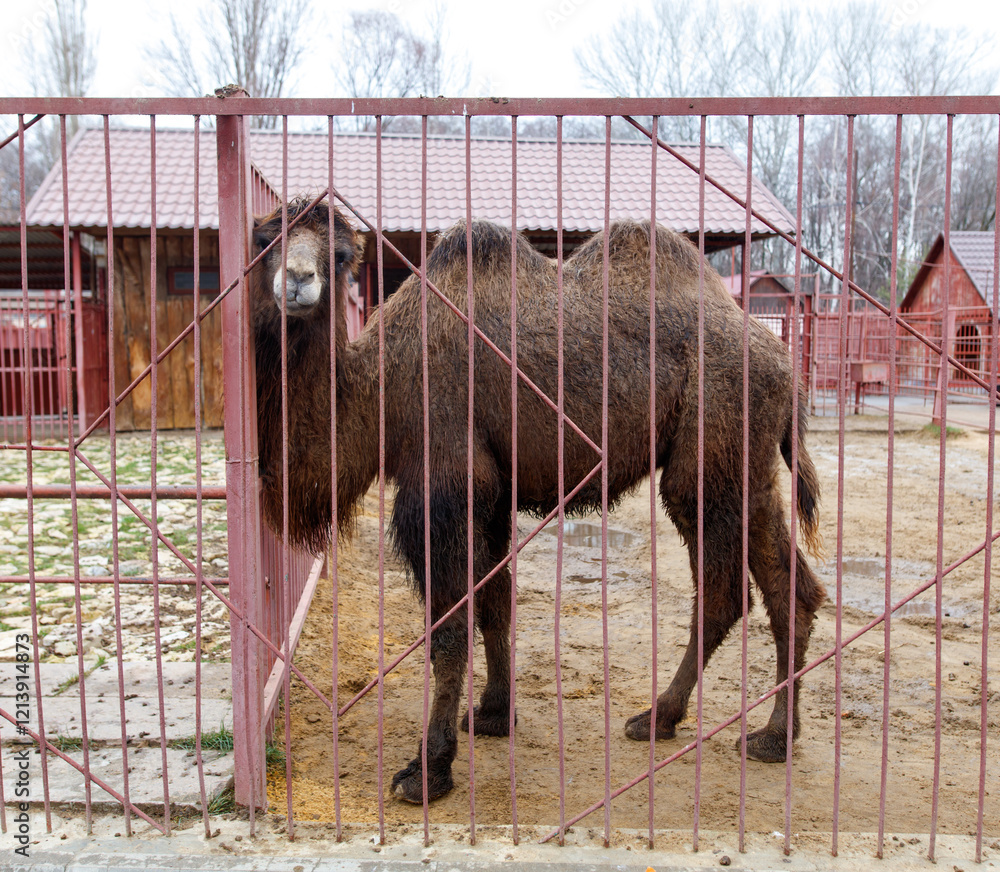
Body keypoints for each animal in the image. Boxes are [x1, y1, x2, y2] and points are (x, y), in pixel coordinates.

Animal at [251, 198, 826, 804]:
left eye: (340, 256)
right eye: (265, 242)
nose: (298, 279)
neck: (385, 385)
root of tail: (787, 367)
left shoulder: (445, 482)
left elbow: (450, 629)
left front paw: (427, 771)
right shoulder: (493, 493)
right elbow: (496, 600)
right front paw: (492, 715)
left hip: (710, 452)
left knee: (721, 592)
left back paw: (665, 718)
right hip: (749, 468)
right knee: (791, 589)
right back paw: (768, 737)